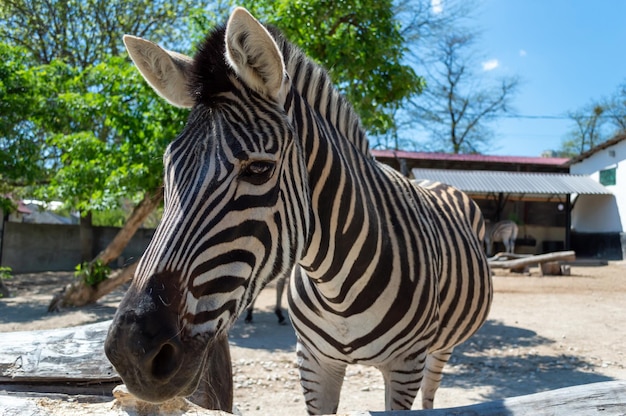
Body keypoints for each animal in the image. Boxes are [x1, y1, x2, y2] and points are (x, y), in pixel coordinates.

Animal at [105, 8, 490, 414]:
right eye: (167, 168)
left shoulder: (405, 366)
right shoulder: (314, 361)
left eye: (260, 169)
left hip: (441, 347)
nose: (131, 353)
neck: (338, 291)